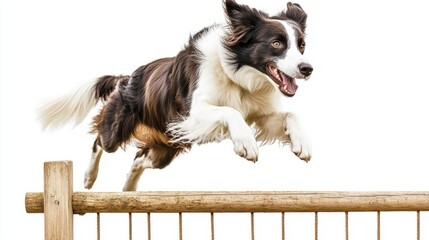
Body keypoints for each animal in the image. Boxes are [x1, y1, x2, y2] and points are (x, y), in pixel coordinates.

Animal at [39, 0, 310, 191]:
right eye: (276, 43)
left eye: (302, 45)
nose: (307, 69)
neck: (237, 74)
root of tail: (127, 78)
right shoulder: (193, 113)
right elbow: (230, 111)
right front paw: (246, 144)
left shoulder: (259, 114)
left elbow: (290, 114)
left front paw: (302, 144)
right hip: (119, 129)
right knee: (99, 141)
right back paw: (88, 178)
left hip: (167, 146)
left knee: (139, 158)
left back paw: (129, 189)